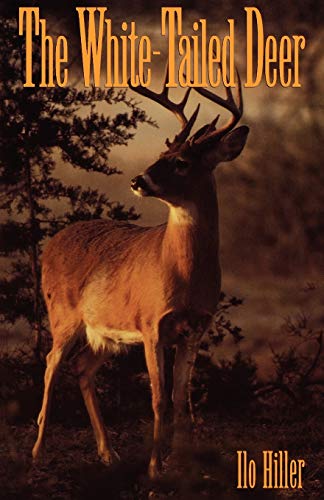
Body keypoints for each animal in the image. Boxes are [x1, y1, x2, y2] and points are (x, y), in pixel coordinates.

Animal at [32, 65, 248, 476]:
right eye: (163, 152)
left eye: (181, 162)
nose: (137, 180)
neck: (183, 274)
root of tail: (51, 243)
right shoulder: (151, 325)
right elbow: (158, 399)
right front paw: (153, 468)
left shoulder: (195, 327)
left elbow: (181, 399)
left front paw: (184, 465)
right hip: (62, 313)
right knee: (51, 364)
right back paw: (36, 451)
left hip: (104, 333)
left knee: (82, 367)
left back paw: (108, 453)